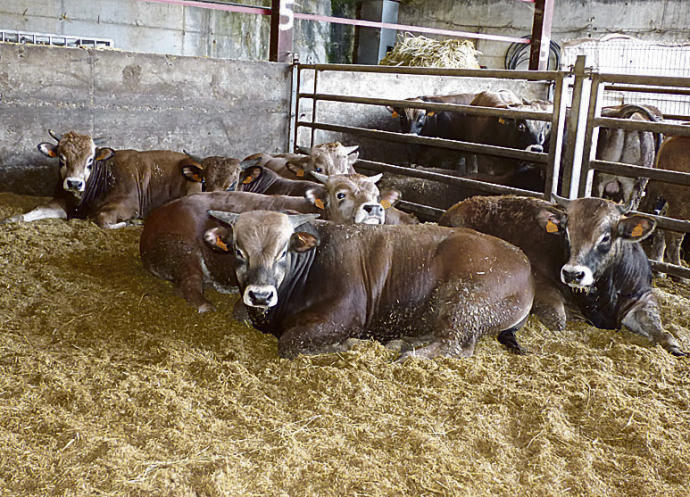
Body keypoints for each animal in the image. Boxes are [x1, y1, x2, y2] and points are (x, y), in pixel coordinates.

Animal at [2, 130, 200, 227]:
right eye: (61, 158)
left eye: (90, 160)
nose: (74, 183)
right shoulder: (62, 202)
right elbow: (38, 209)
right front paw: (13, 219)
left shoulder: (128, 205)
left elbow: (101, 220)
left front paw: (129, 223)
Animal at [204, 207, 532, 358]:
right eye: (238, 251)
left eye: (283, 251)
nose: (260, 295)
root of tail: (523, 263)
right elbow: (238, 311)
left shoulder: (343, 317)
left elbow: (289, 342)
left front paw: (345, 345)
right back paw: (403, 342)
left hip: (465, 302)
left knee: (455, 345)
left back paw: (408, 354)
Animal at [438, 195, 684, 356]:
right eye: (566, 233)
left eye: (606, 237)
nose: (573, 273)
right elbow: (559, 319)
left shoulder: (642, 296)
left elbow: (658, 326)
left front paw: (673, 345)